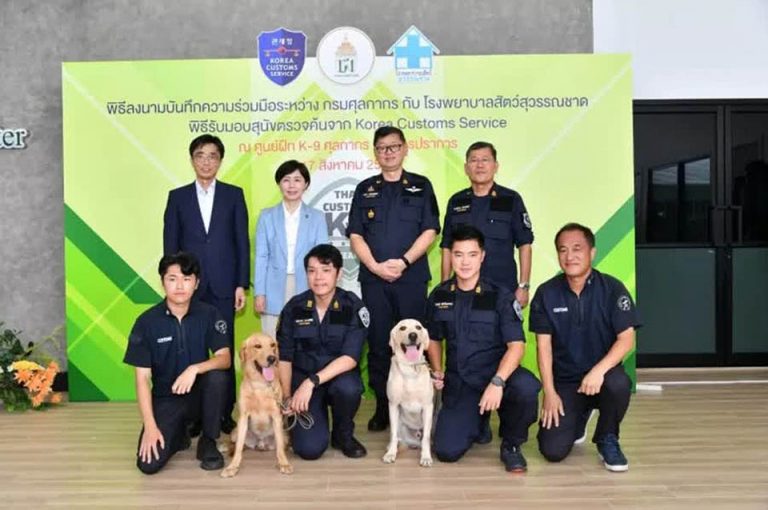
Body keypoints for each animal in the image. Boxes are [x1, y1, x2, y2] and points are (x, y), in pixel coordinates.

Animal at [220, 332, 293, 477]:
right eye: (257, 346)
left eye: (272, 345)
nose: (272, 358)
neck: (260, 385)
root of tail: (260, 443)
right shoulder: (243, 418)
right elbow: (238, 448)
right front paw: (232, 466)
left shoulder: (276, 417)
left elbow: (280, 449)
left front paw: (284, 464)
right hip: (235, 431)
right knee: (237, 444)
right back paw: (227, 447)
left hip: (285, 435)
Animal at [382, 319, 434, 467]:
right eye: (402, 328)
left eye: (418, 327)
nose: (413, 335)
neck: (410, 368)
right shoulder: (393, 405)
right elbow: (393, 434)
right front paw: (391, 454)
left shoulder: (428, 406)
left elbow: (426, 438)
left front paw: (426, 457)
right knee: (399, 438)